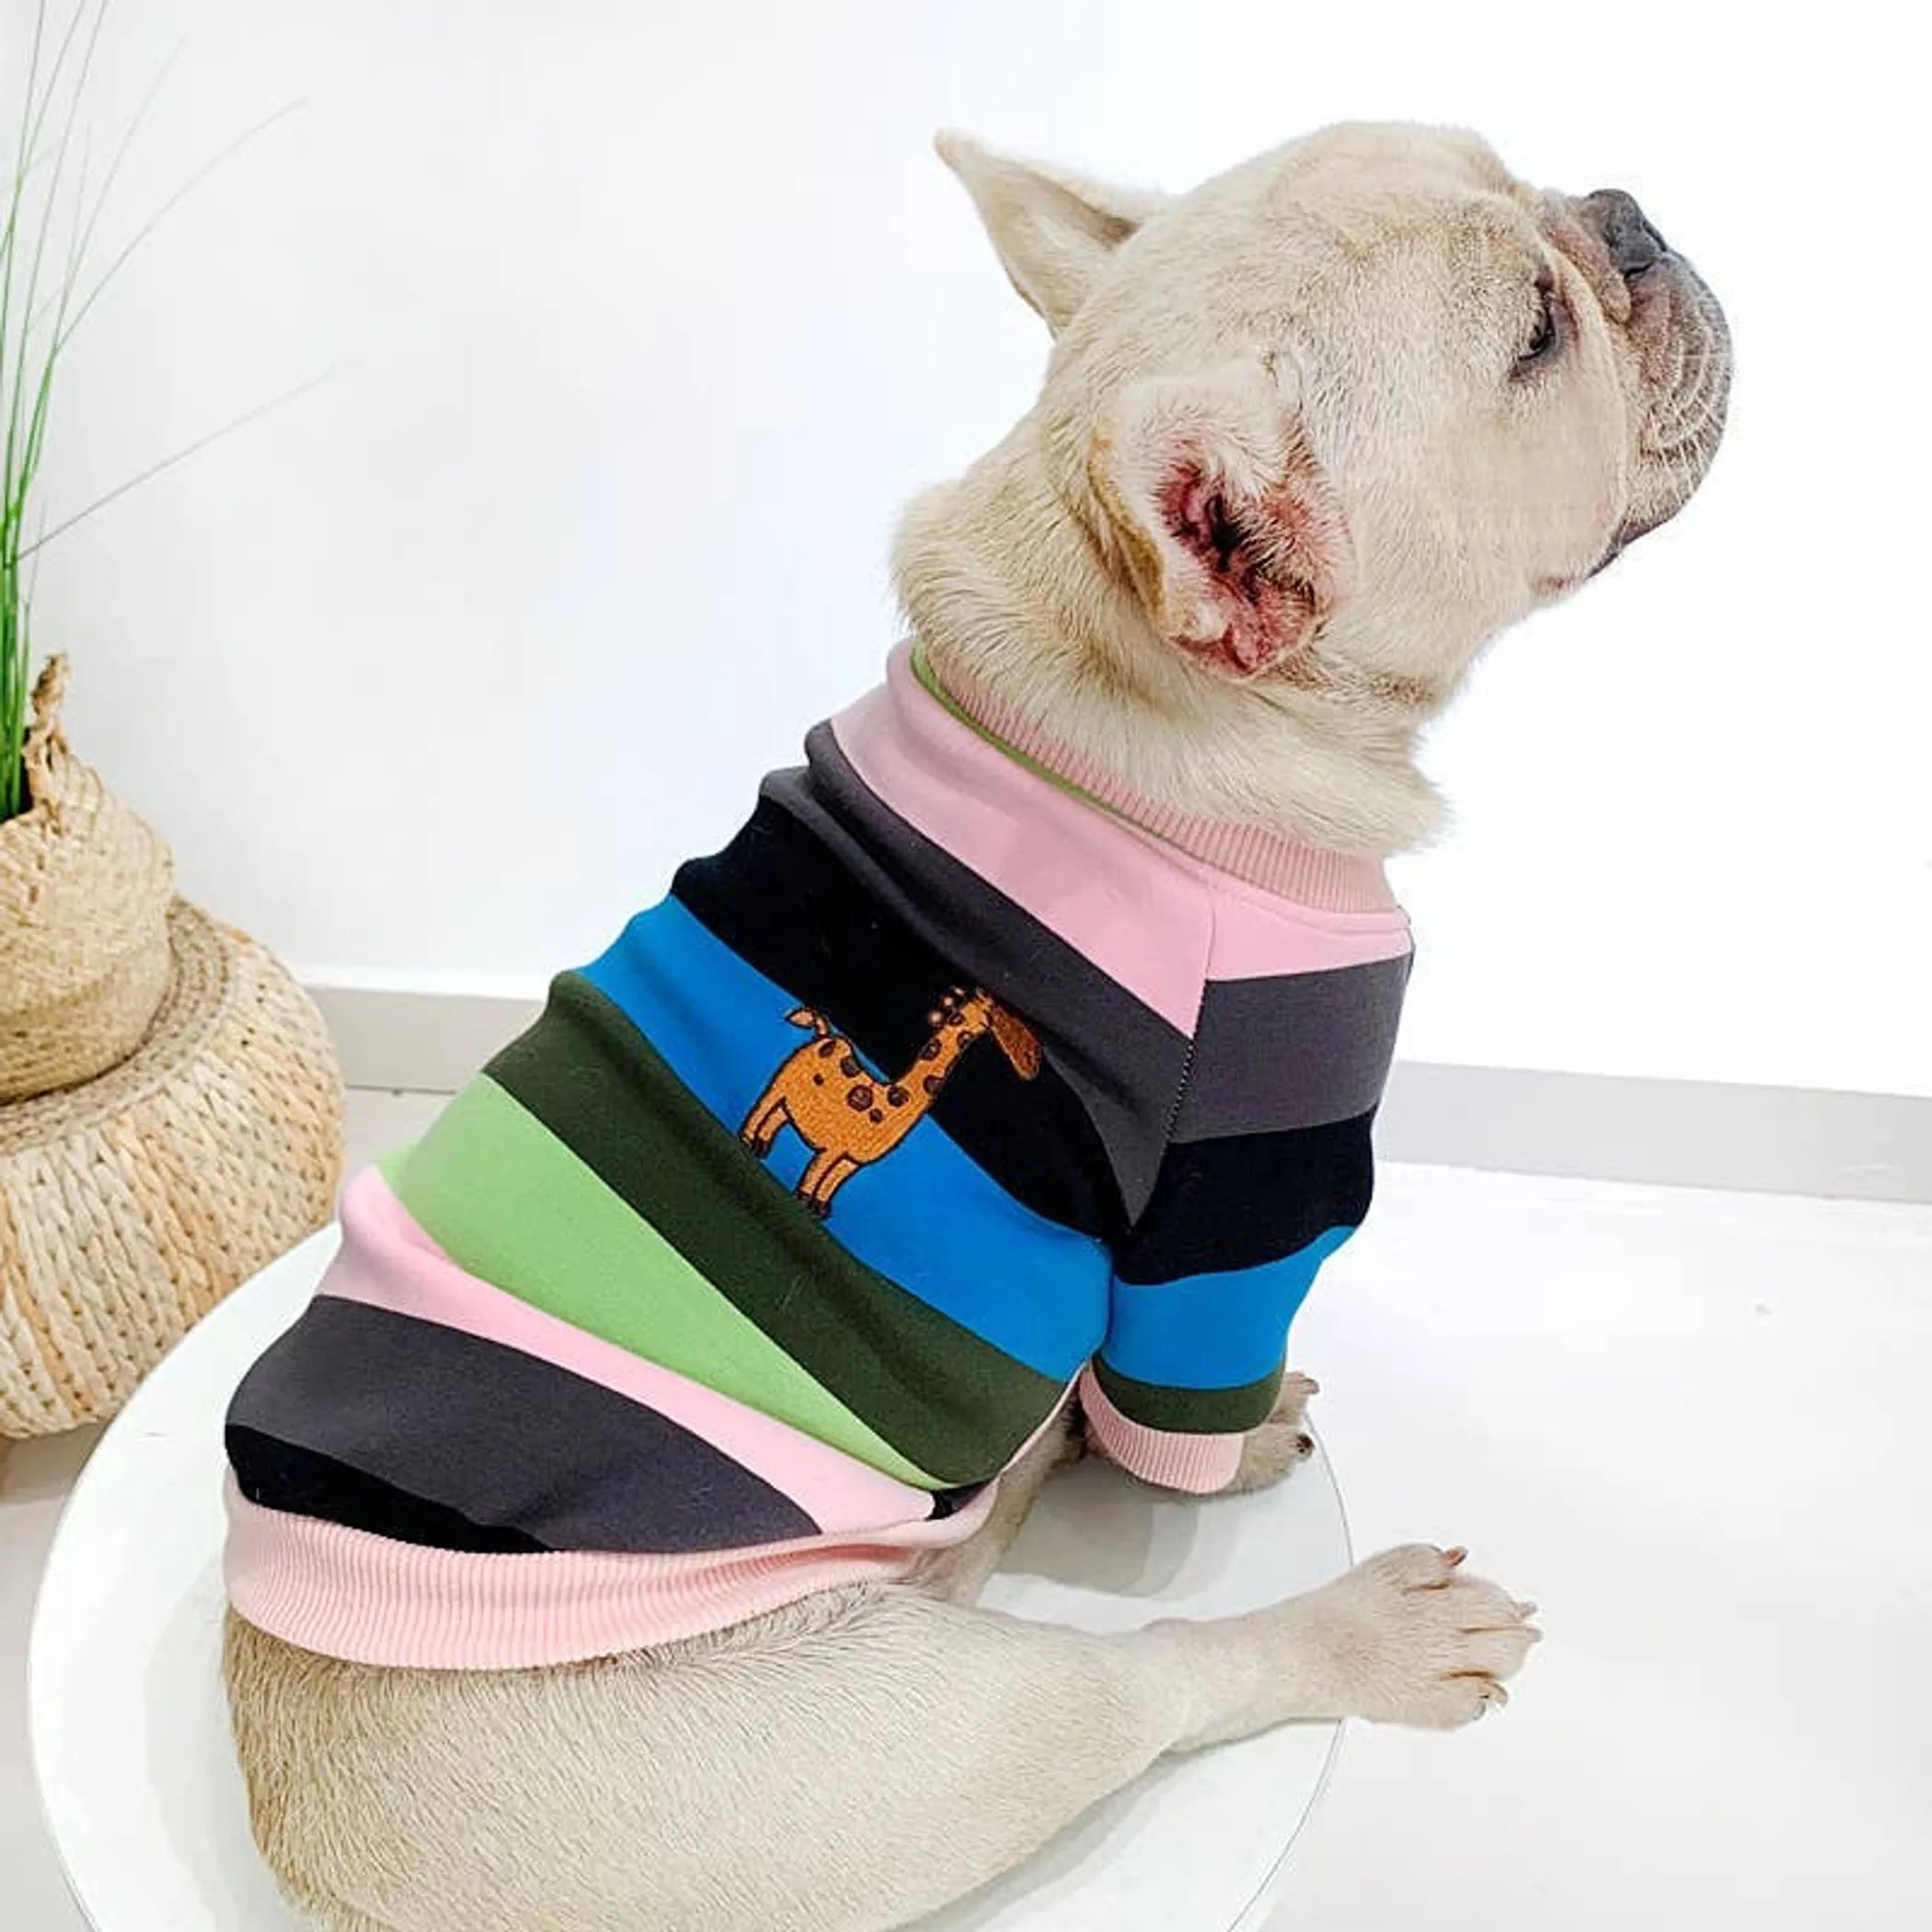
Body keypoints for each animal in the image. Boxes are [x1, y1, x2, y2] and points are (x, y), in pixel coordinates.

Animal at [739, 986, 1041, 1218]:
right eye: (1003, 1021)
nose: (1033, 1064)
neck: (891, 1101)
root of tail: (824, 1036)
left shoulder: (852, 1160)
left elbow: (833, 1181)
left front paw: (819, 1208)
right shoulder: (834, 1148)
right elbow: (818, 1173)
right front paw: (803, 1201)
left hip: (792, 1103)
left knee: (778, 1118)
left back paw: (761, 1146)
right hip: (779, 1086)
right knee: (765, 1107)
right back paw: (747, 1140)